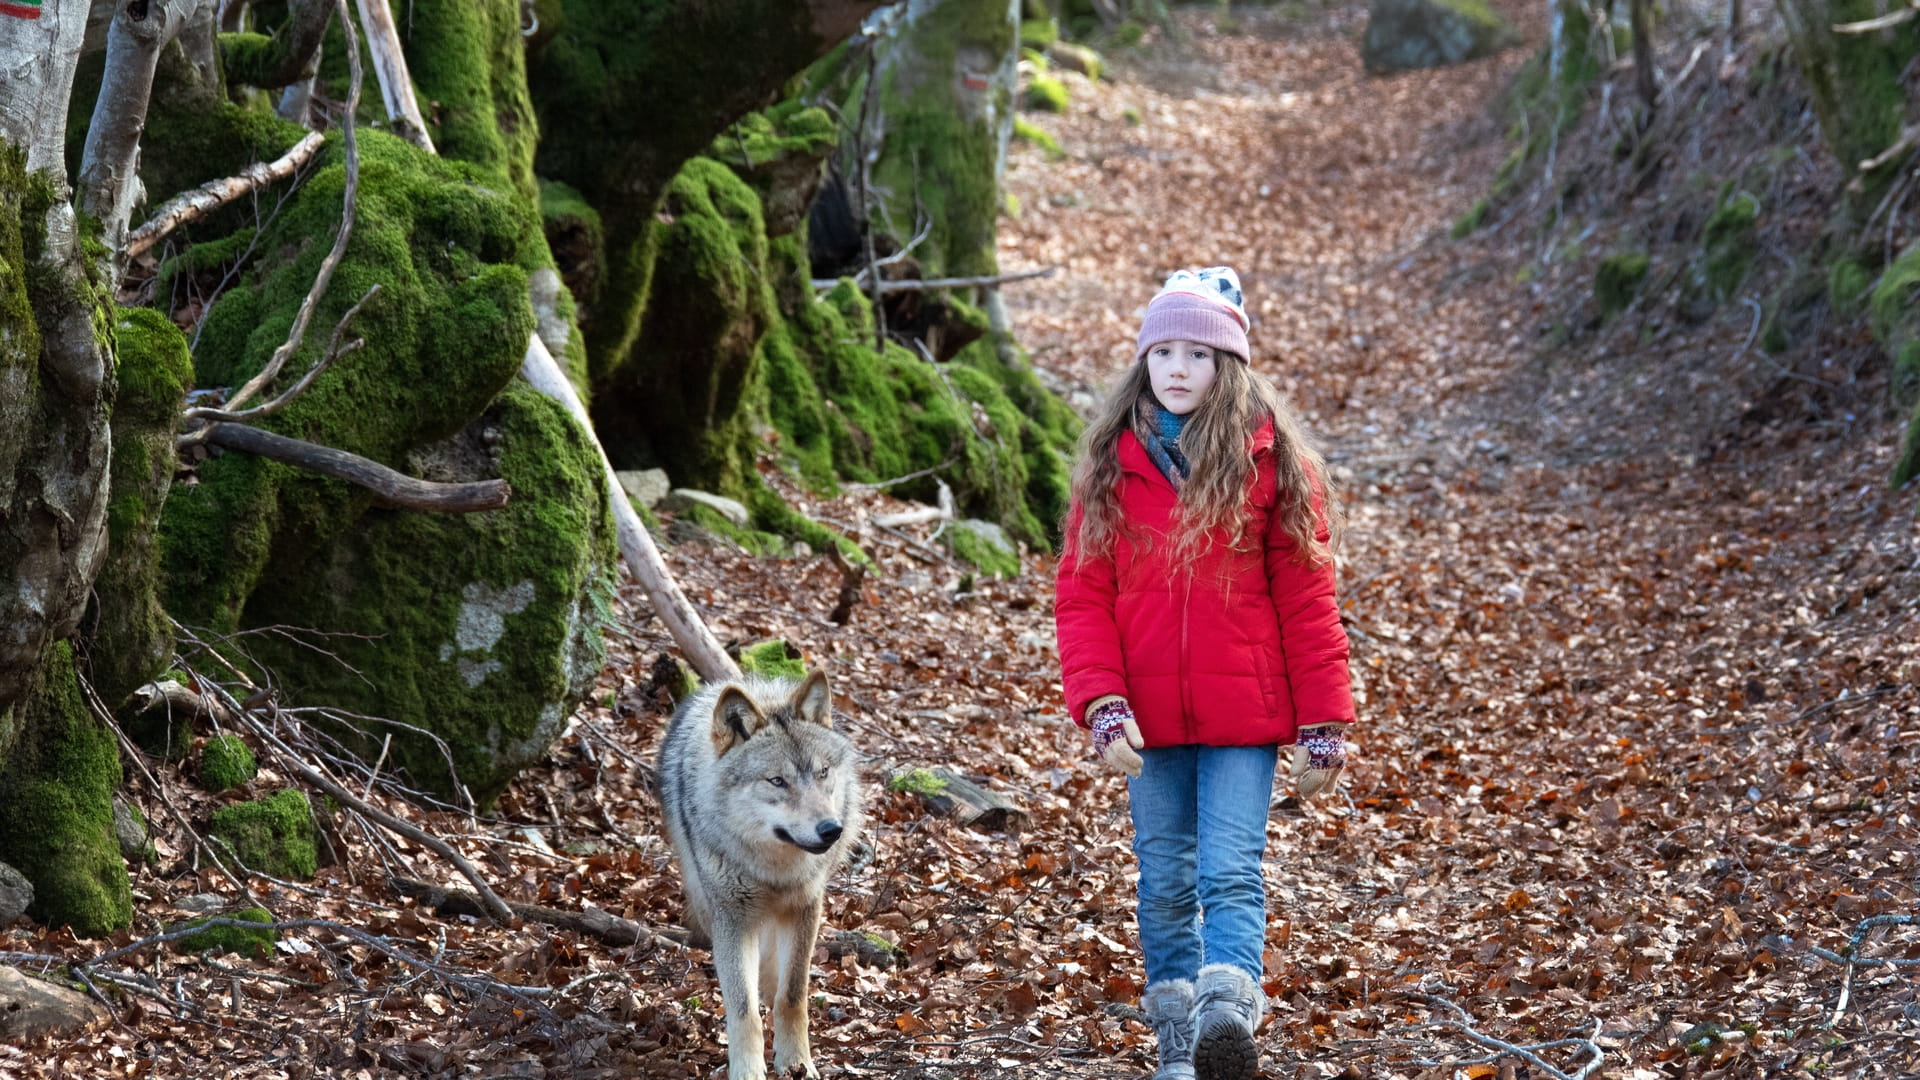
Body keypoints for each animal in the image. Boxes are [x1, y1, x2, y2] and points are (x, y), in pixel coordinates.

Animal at [657, 668, 865, 1080]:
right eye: (777, 781)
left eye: (823, 772)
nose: (830, 830)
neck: (775, 870)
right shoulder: (733, 920)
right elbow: (743, 1010)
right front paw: (748, 1071)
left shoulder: (805, 907)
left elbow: (792, 995)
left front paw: (797, 1063)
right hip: (706, 901)